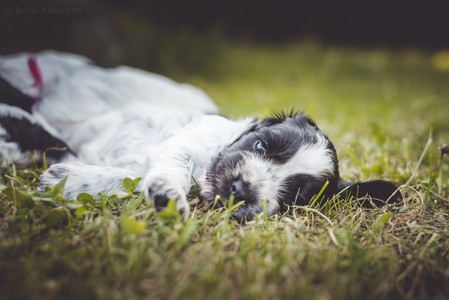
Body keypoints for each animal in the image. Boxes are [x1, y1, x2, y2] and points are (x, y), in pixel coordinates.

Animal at [0, 51, 400, 220]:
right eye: (260, 145)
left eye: (296, 196)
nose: (239, 189)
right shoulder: (188, 141)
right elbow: (168, 166)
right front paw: (168, 194)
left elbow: (131, 178)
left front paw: (68, 180)